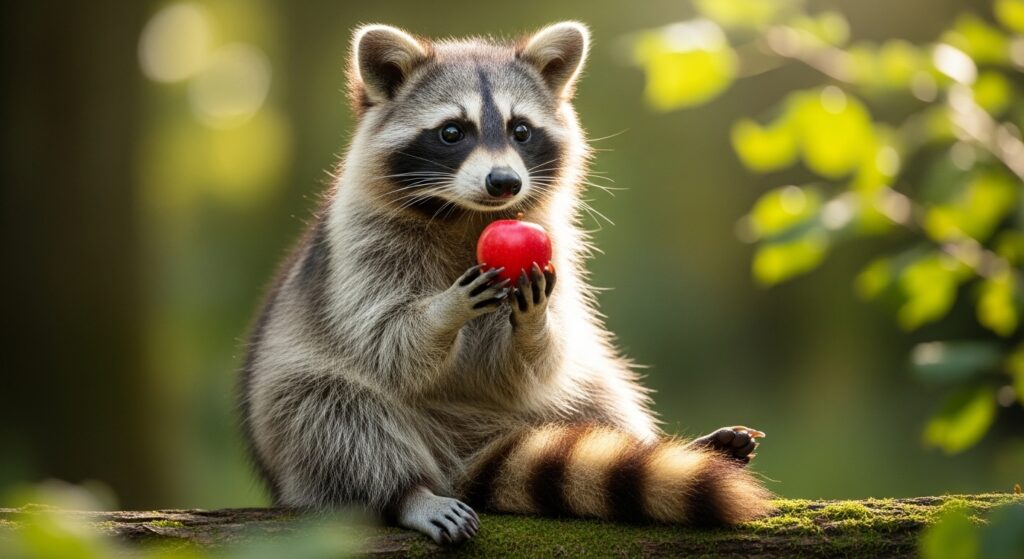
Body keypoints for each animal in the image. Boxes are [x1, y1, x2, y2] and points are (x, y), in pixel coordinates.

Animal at [239, 22, 772, 544]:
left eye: (521, 130)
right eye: (452, 132)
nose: (504, 183)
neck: (466, 213)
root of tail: (464, 449)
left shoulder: (556, 244)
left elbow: (522, 365)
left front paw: (533, 320)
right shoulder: (361, 246)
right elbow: (384, 339)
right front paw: (444, 311)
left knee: (594, 382)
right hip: (287, 412)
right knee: (330, 409)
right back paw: (407, 493)